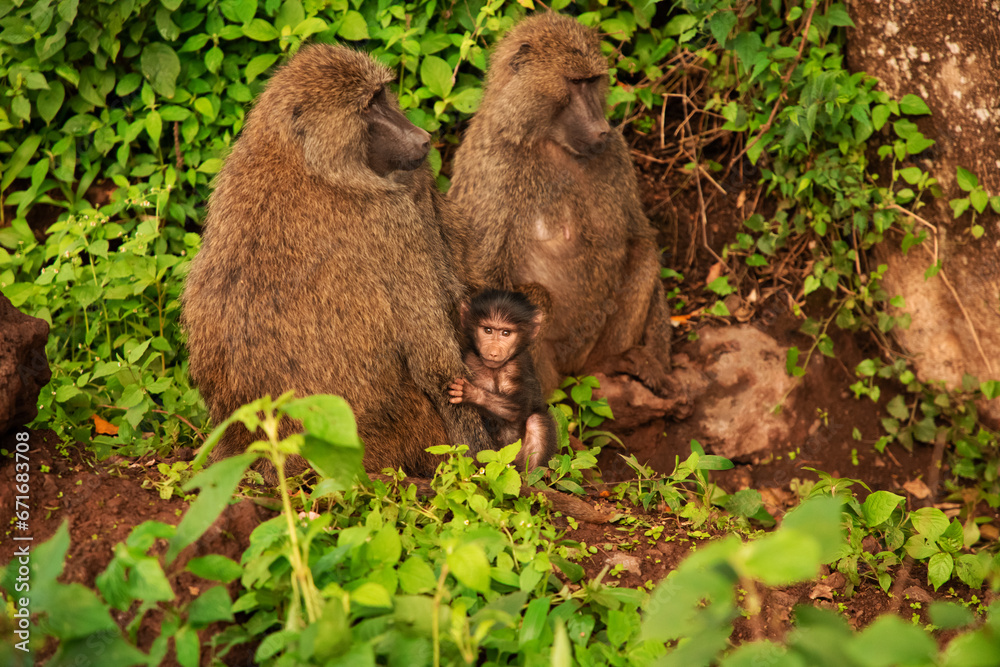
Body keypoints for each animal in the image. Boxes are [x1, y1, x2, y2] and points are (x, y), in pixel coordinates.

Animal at [181, 45, 492, 484]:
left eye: (381, 96)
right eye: (367, 108)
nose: (422, 139)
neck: (307, 160)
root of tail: (259, 451)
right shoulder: (392, 217)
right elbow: (436, 364)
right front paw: (484, 458)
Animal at [448, 13, 673, 398]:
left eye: (592, 82)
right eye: (574, 83)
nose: (601, 128)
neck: (544, 139)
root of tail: (571, 371)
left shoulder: (617, 153)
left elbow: (639, 235)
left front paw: (658, 357)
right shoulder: (495, 167)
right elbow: (479, 278)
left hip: (586, 353)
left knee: (643, 254)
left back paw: (614, 362)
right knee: (536, 300)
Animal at [448, 289, 557, 470]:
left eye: (506, 333)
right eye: (488, 330)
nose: (493, 352)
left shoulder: (520, 364)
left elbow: (519, 407)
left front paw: (470, 393)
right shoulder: (469, 359)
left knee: (537, 421)